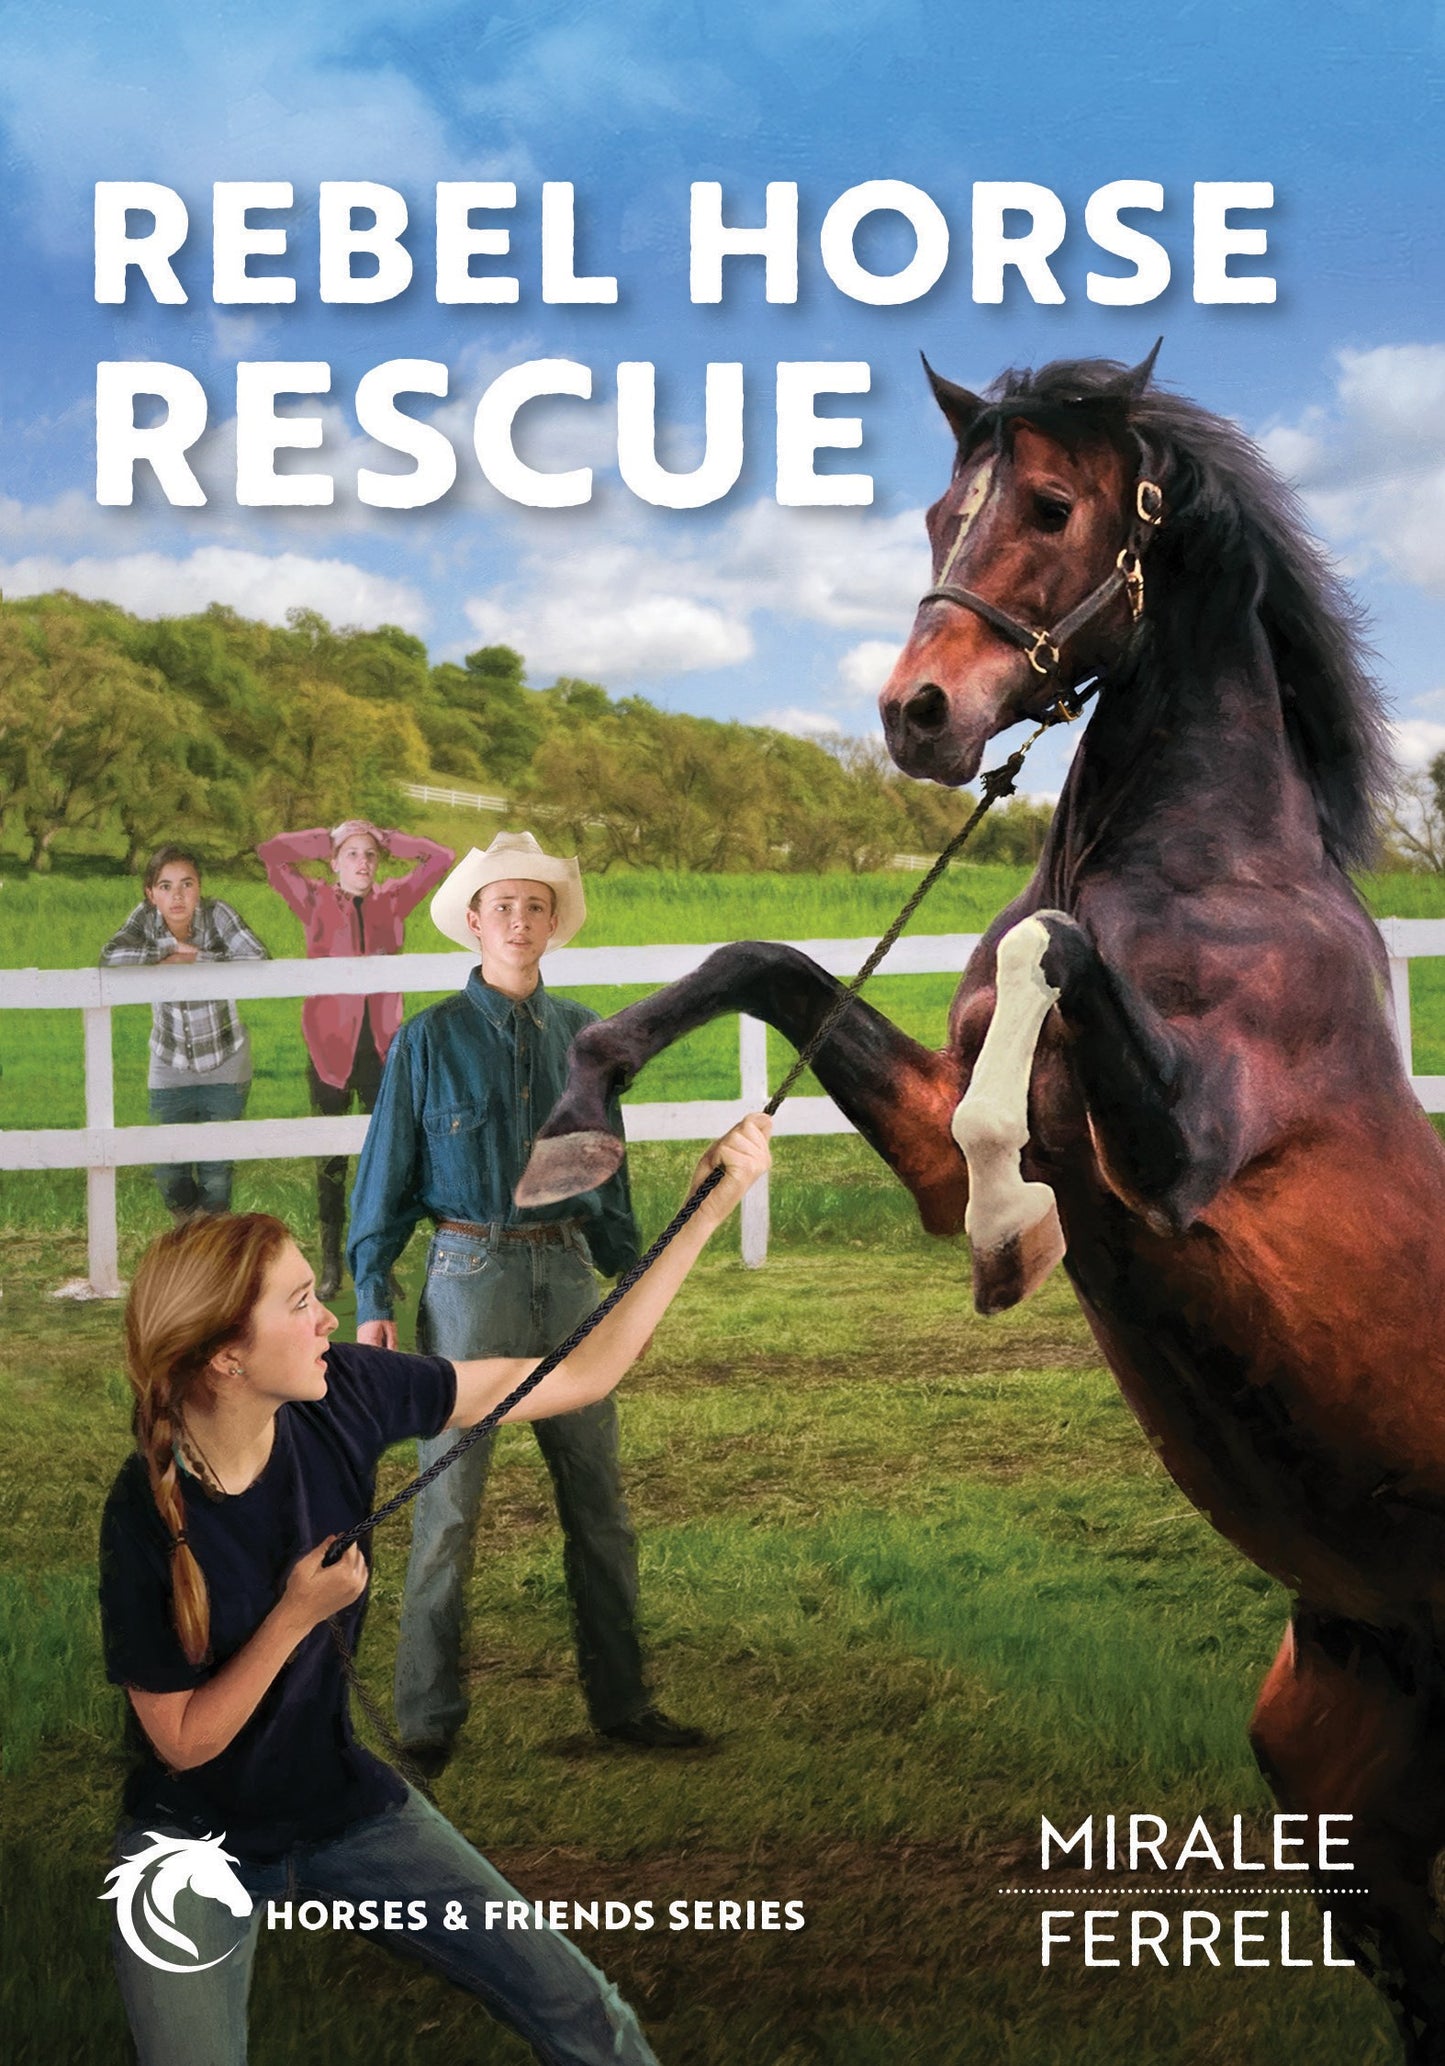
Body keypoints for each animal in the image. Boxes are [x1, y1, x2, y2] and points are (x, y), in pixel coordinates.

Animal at [515, 349, 1445, 2060]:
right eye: (944, 509)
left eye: (1057, 505)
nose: (918, 713)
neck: (1199, 871)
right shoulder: (930, 1136)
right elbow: (769, 966)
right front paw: (575, 1130)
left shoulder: (1181, 1171)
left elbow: (1048, 953)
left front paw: (1016, 1232)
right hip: (1339, 1783)